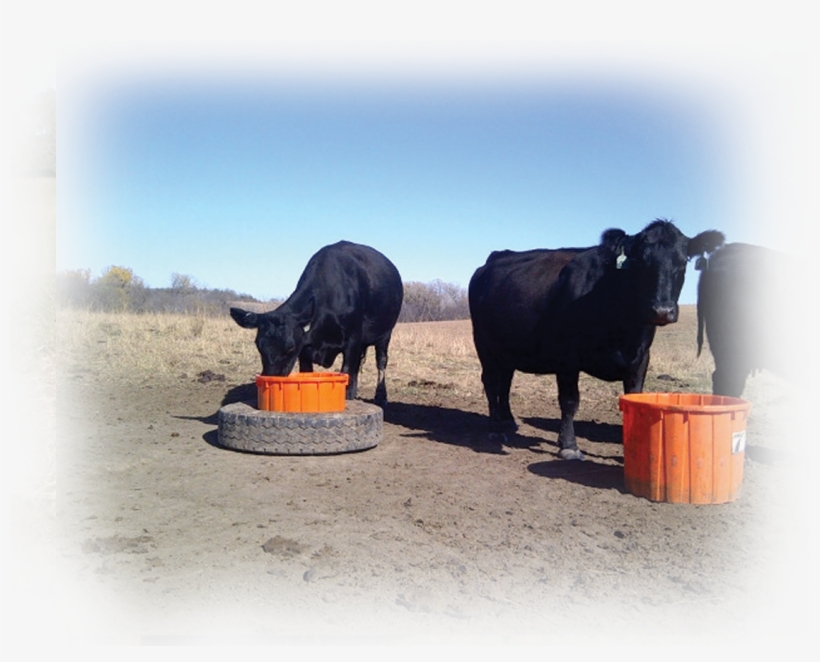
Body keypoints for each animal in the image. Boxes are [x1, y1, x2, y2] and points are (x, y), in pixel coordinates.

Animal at [230, 241, 403, 406]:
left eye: (290, 347)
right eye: (259, 345)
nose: (271, 378)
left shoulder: (353, 339)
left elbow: (347, 370)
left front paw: (348, 396)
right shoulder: (304, 349)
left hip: (385, 334)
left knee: (381, 362)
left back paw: (380, 396)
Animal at [469, 219, 725, 460]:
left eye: (682, 263)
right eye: (640, 263)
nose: (662, 311)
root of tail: (496, 257)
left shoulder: (641, 358)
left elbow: (634, 400)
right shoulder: (567, 357)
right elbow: (570, 400)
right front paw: (569, 446)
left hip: (506, 350)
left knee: (505, 382)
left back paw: (508, 421)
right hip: (484, 345)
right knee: (491, 382)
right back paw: (495, 429)